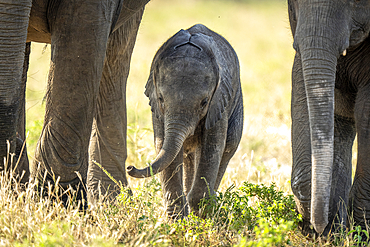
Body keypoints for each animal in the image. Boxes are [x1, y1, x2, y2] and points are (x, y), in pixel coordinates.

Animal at [127, 23, 243, 218]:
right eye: (161, 99)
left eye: (204, 102)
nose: (129, 167)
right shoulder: (158, 112)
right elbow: (164, 147)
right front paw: (177, 220)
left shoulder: (219, 103)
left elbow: (212, 147)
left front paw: (201, 217)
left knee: (228, 147)